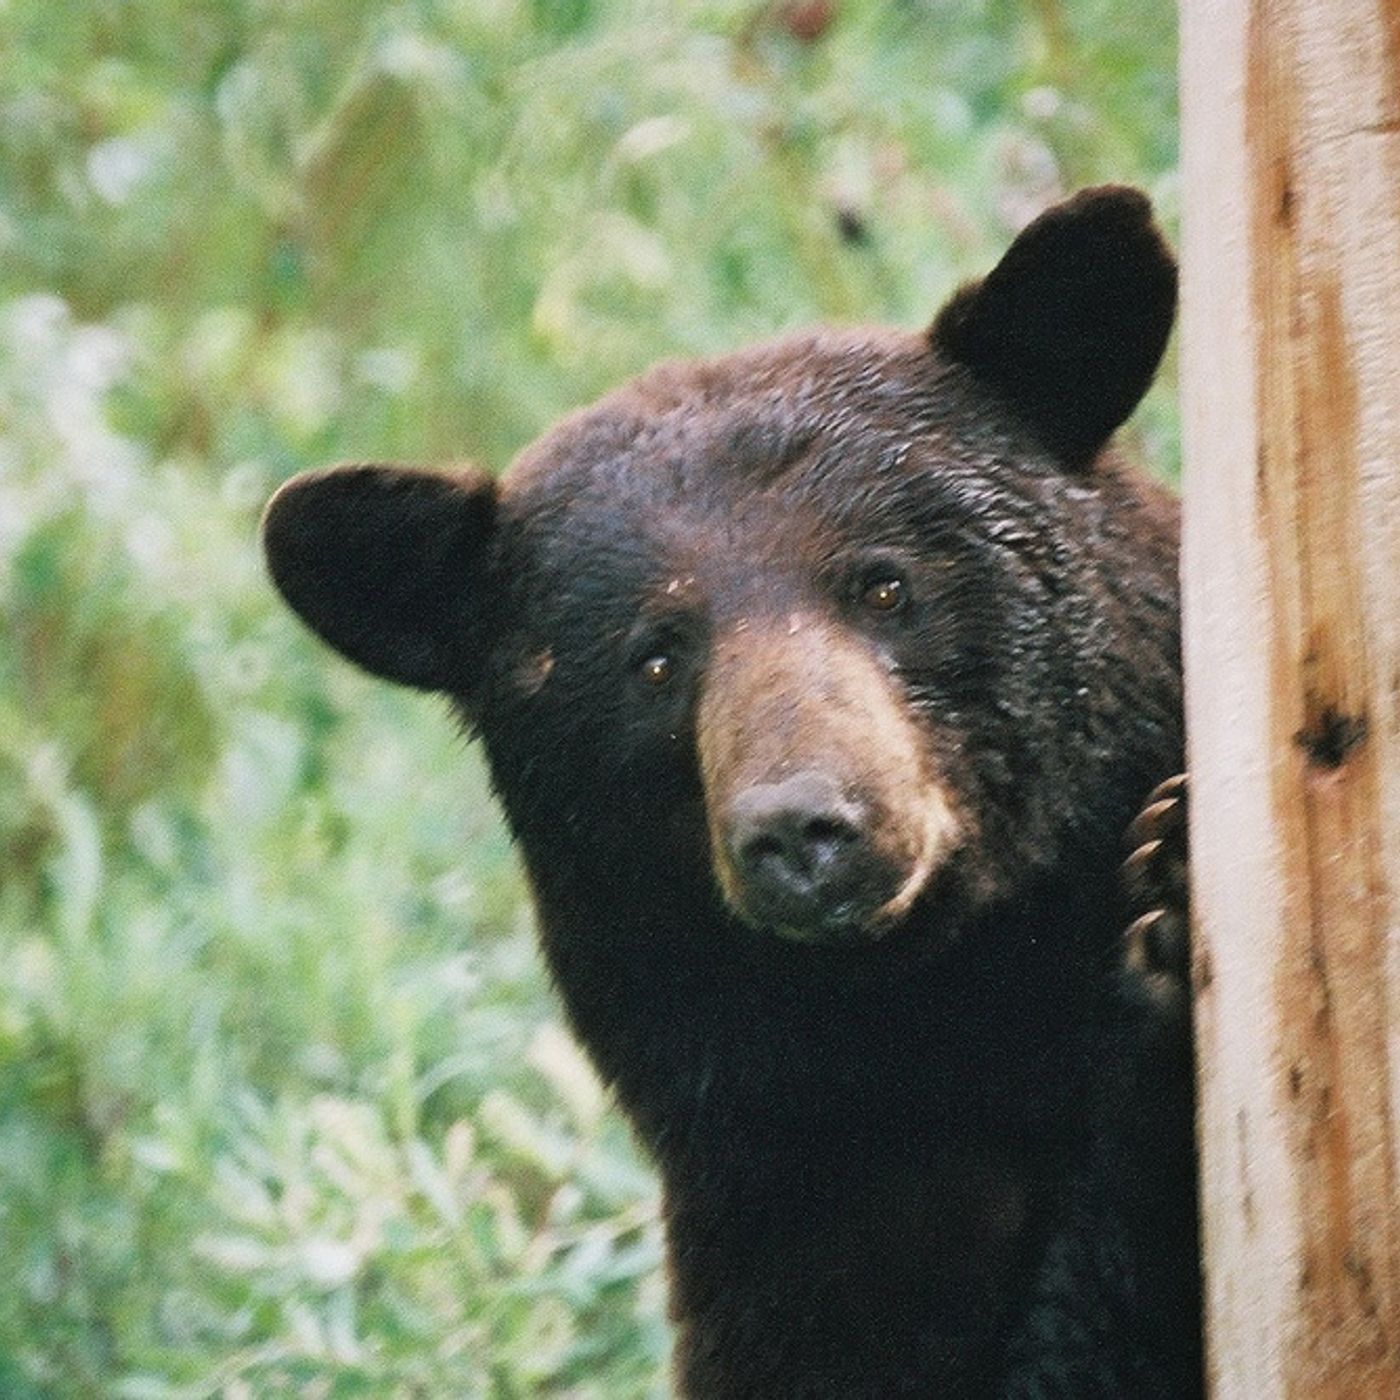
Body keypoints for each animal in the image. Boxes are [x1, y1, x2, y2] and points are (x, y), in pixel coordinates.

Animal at [262, 185, 1200, 1398]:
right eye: (655, 657)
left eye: (884, 583)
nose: (802, 828)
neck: (942, 1017)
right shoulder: (791, 1209)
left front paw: (1172, 884)